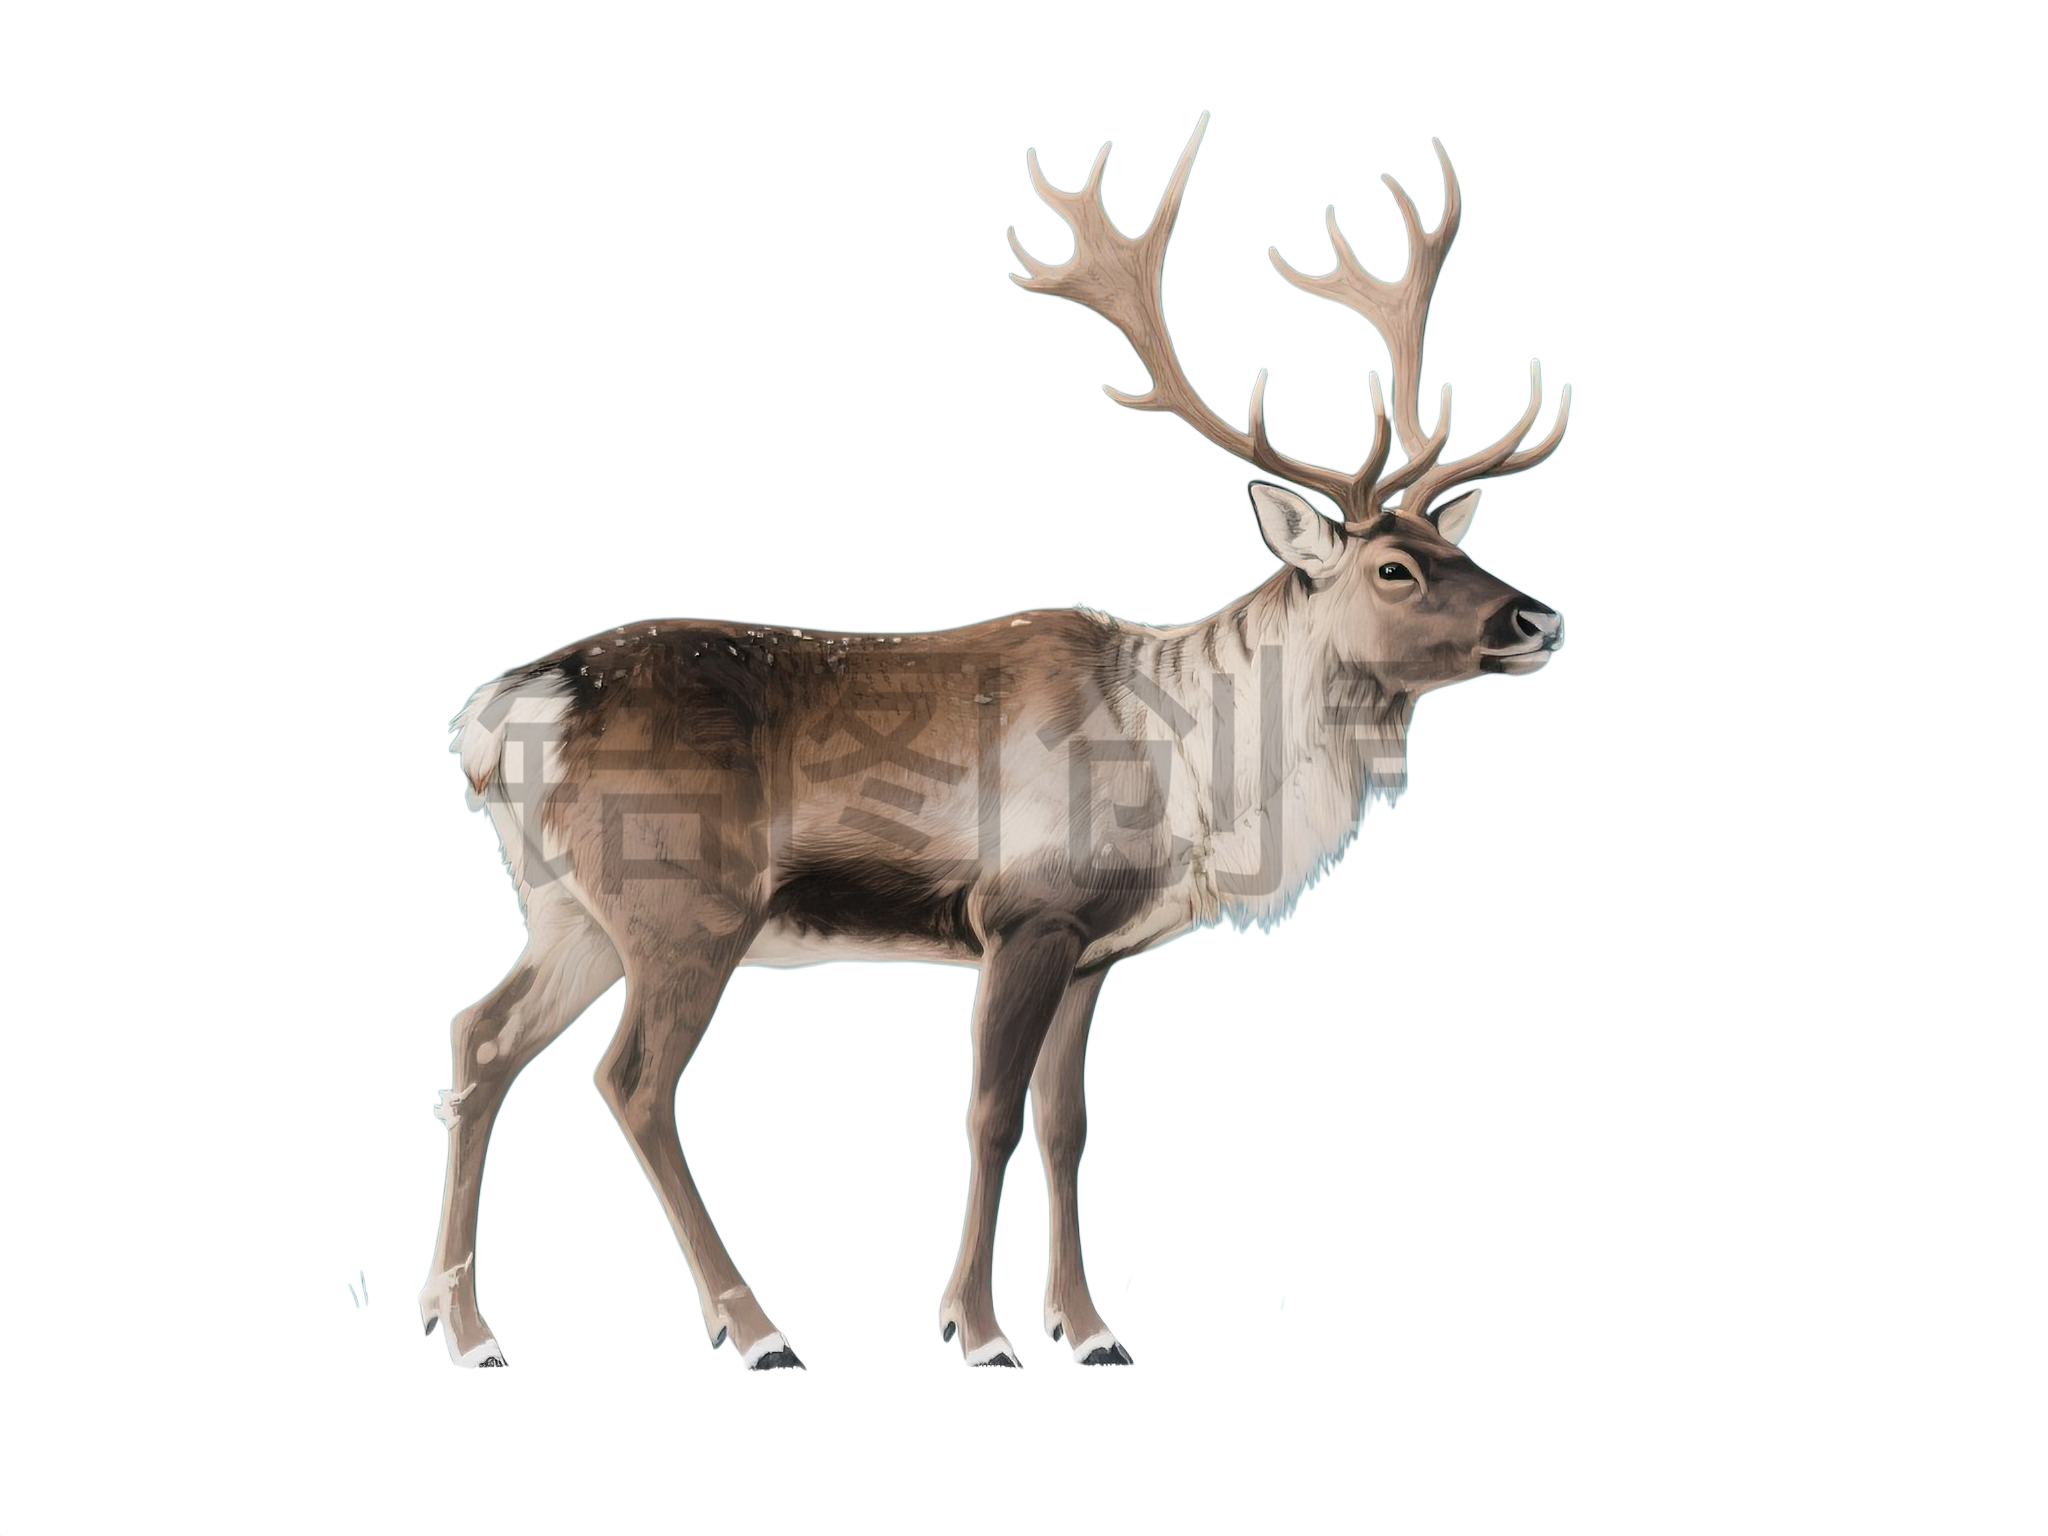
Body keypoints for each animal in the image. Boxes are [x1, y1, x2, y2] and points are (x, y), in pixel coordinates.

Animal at [422, 110, 1569, 1373]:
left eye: (1463, 544)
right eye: (1394, 567)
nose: (1539, 620)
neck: (1192, 779)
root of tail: (498, 715)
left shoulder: (1096, 949)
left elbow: (1065, 1124)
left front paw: (1091, 1327)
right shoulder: (1022, 910)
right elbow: (985, 1118)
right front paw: (977, 1331)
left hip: (566, 906)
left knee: (479, 1039)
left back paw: (467, 1327)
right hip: (682, 903)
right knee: (629, 1081)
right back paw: (755, 1327)